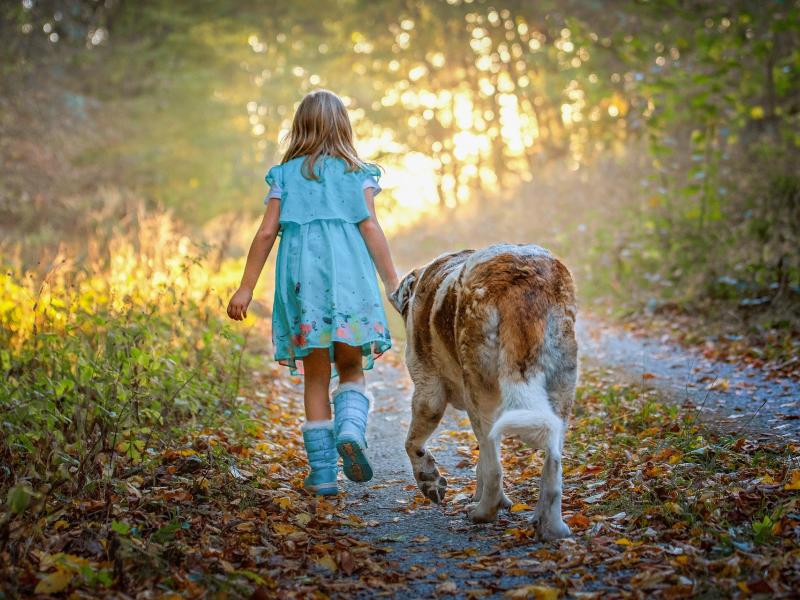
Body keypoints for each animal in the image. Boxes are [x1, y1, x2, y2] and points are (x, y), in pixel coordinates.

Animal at [390, 243, 572, 540]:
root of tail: (521, 278)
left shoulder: (428, 392)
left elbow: (412, 443)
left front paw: (430, 481)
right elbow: (481, 465)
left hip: (481, 398)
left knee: (494, 467)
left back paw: (483, 512)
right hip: (560, 393)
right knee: (552, 465)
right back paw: (551, 525)